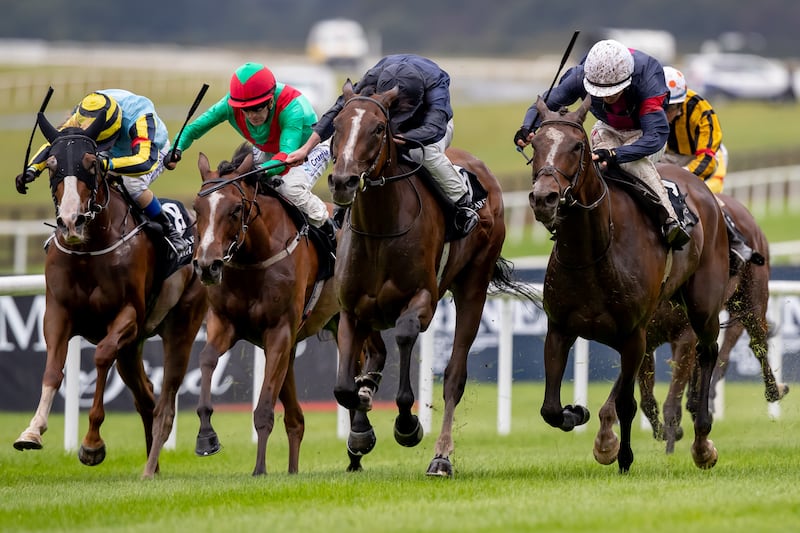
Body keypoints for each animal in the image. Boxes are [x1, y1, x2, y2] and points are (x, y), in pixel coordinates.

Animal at [12, 113, 208, 478]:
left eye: (91, 164)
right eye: (52, 165)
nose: (70, 221)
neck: (89, 251)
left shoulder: (128, 315)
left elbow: (101, 356)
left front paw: (91, 444)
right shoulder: (57, 312)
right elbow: (53, 369)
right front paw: (31, 431)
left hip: (181, 326)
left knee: (162, 395)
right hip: (132, 349)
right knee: (146, 396)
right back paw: (152, 466)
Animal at [191, 145, 384, 474]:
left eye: (235, 210)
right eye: (197, 209)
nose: (207, 265)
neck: (254, 258)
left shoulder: (279, 332)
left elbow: (264, 408)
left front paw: (259, 470)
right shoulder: (225, 324)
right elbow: (206, 360)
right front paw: (206, 436)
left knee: (368, 359)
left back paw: (359, 433)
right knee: (298, 418)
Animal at [326, 81, 532, 476]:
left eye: (378, 128)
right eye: (337, 126)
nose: (343, 181)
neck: (380, 229)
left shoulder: (423, 297)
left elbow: (407, 336)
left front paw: (407, 424)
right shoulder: (351, 308)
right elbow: (344, 385)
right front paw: (360, 430)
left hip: (473, 287)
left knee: (454, 376)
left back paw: (441, 456)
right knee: (374, 356)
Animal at [528, 97, 736, 472]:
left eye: (577, 146)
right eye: (535, 143)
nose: (544, 198)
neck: (593, 252)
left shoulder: (633, 335)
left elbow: (627, 402)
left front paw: (623, 457)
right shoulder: (560, 328)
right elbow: (550, 408)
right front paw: (575, 412)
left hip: (703, 305)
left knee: (708, 352)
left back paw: (702, 441)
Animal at [636, 191, 788, 448]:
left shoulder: (686, 334)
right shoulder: (645, 340)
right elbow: (647, 399)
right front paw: (667, 431)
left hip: (752, 298)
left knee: (755, 344)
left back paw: (773, 390)